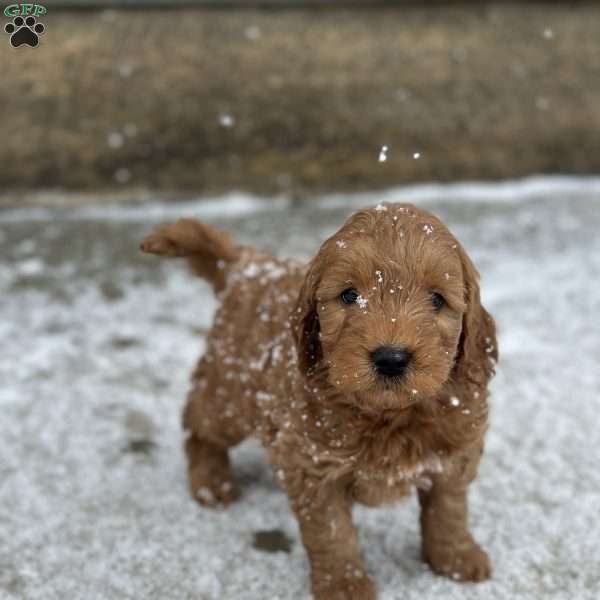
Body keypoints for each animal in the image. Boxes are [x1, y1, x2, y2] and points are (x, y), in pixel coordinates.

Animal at [141, 204, 496, 596]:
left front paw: (456, 557)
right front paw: (345, 585)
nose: (391, 358)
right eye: (349, 295)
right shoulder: (314, 465)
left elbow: (448, 511)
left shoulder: (454, 452)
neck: (387, 414)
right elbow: (332, 533)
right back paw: (211, 482)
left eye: (437, 299)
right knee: (199, 423)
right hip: (229, 395)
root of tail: (247, 265)